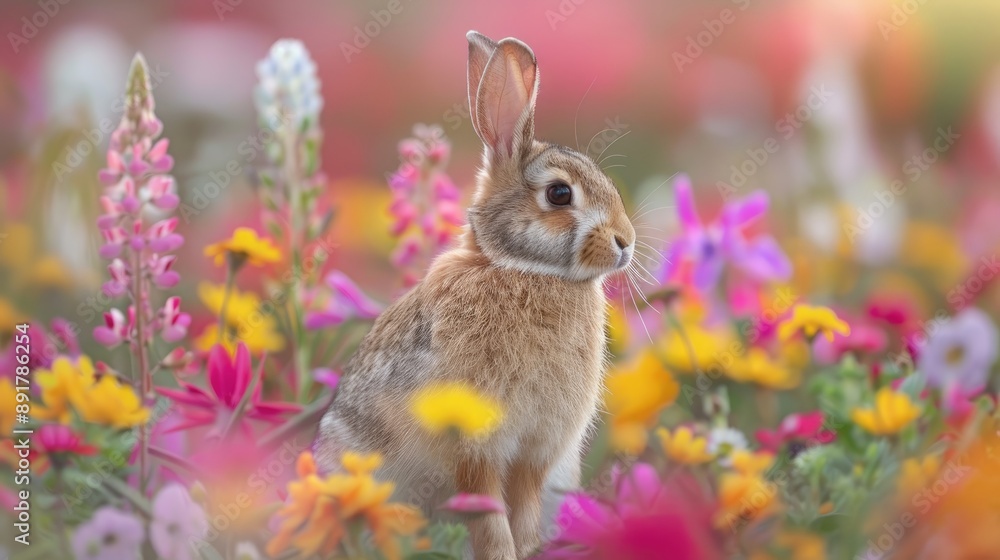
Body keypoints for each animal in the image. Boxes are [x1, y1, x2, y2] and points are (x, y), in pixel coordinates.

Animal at [313, 30, 636, 560]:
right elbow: (487, 513)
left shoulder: (535, 453)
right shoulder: (474, 447)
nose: (625, 242)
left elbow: (523, 508)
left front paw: (528, 550)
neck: (522, 268)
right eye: (560, 194)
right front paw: (503, 553)